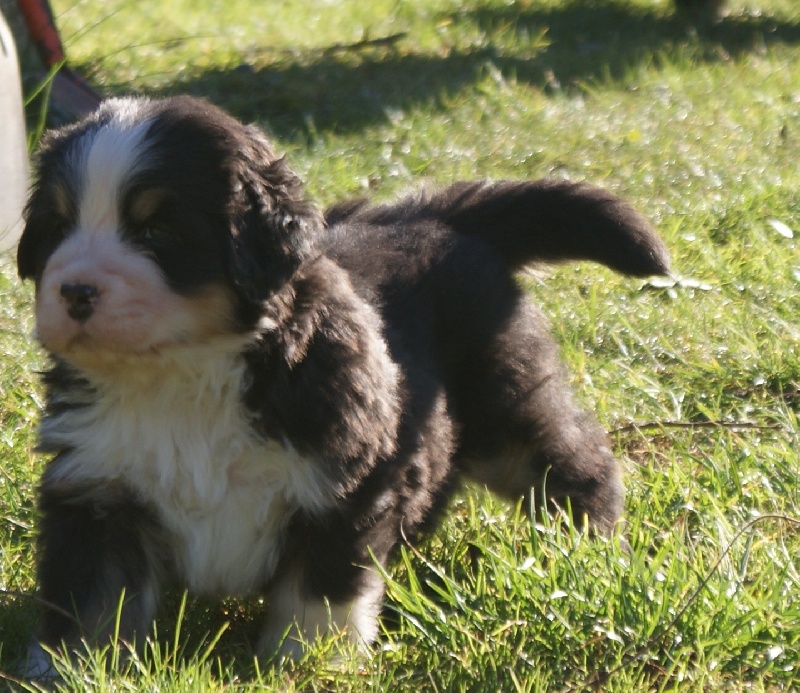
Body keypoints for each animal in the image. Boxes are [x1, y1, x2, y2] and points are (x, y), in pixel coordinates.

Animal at [17, 96, 668, 672]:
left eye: (157, 231)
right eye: (58, 226)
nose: (74, 292)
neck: (184, 377)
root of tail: (437, 217)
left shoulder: (346, 482)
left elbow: (318, 594)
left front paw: (306, 664)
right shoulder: (96, 489)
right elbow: (92, 599)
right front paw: (71, 669)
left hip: (505, 408)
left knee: (574, 462)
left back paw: (590, 551)